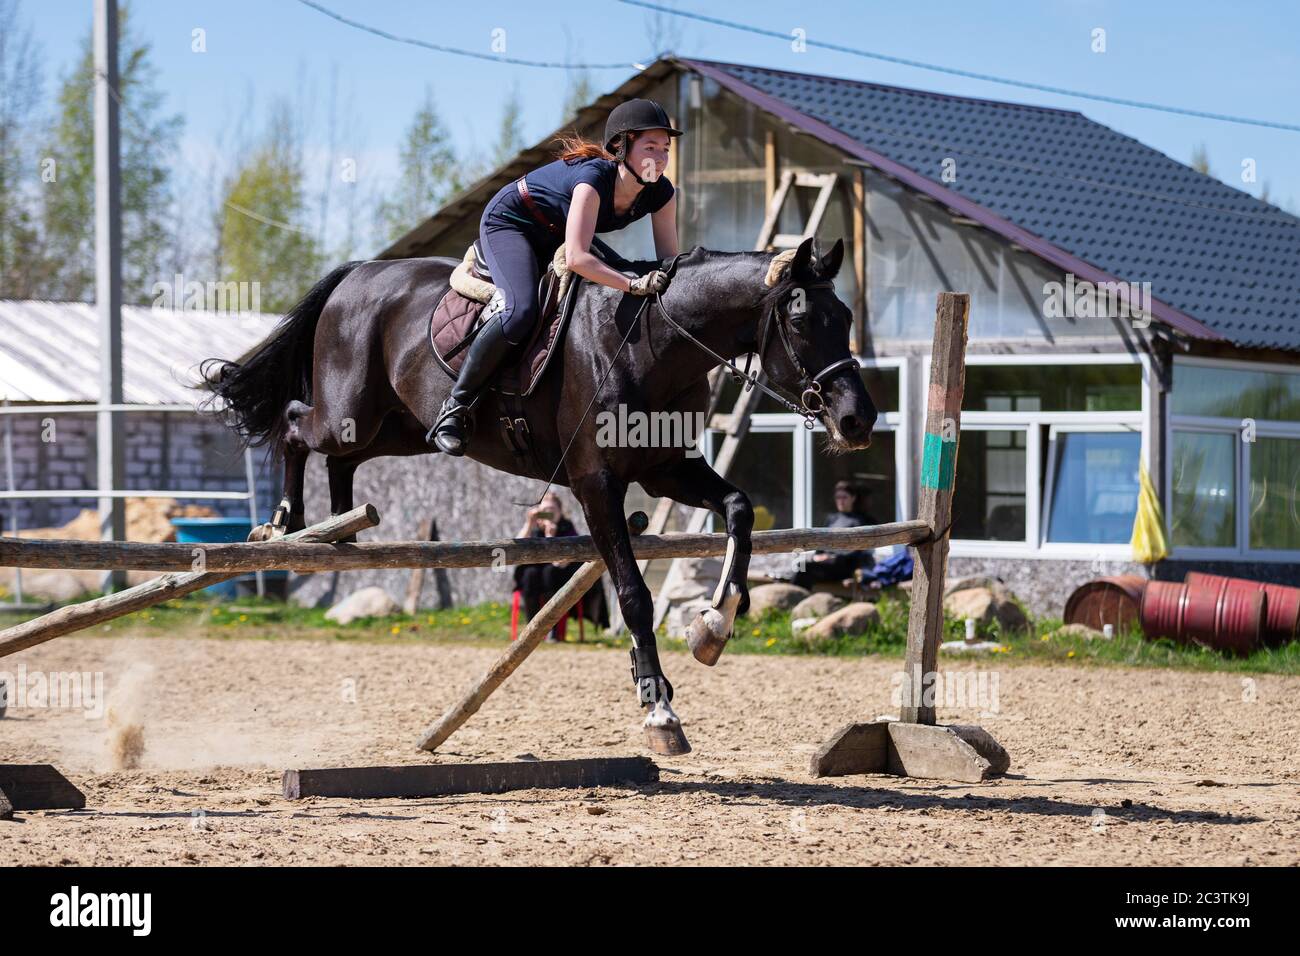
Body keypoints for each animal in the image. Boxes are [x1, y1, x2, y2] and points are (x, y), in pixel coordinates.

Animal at [202, 238, 878, 754]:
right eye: (801, 322)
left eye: (845, 319)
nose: (859, 420)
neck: (655, 343)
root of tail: (359, 271)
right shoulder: (595, 484)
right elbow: (633, 594)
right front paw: (659, 710)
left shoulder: (667, 470)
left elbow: (738, 510)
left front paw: (712, 626)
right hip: (352, 411)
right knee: (296, 424)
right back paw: (285, 524)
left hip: (399, 429)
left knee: (342, 455)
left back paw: (338, 527)